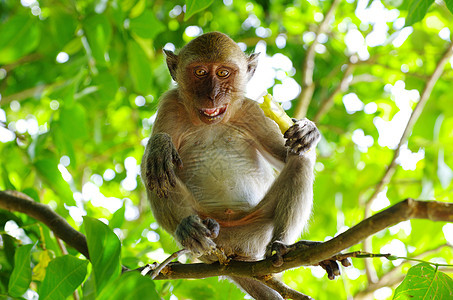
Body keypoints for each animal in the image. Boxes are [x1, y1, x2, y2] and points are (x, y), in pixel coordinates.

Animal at [141, 31, 324, 298]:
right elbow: (155, 156)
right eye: (200, 72)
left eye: (223, 73)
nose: (213, 95)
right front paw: (159, 144)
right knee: (157, 172)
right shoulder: (170, 105)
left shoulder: (252, 111)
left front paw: (309, 131)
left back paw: (281, 247)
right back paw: (188, 230)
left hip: (253, 234)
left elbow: (288, 153)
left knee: (299, 161)